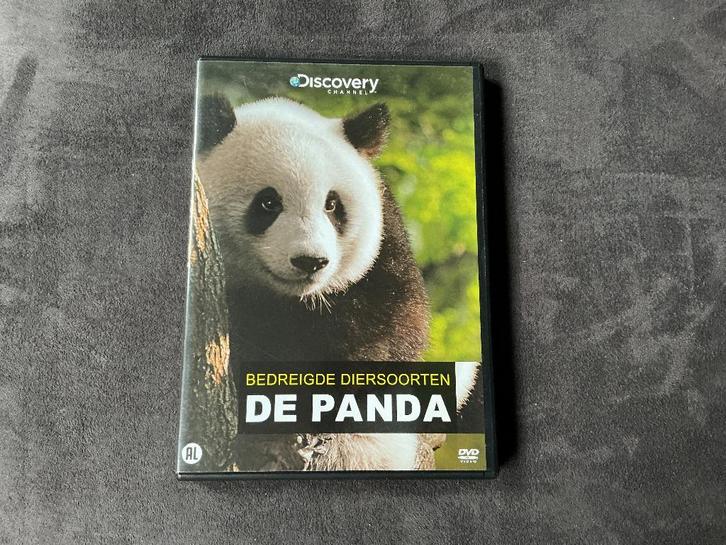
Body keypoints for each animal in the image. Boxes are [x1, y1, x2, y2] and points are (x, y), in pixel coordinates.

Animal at [196, 95, 477, 470]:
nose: (310, 261)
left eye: (332, 204)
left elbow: (392, 329)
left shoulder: (386, 247)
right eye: (268, 203)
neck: (295, 301)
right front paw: (272, 439)